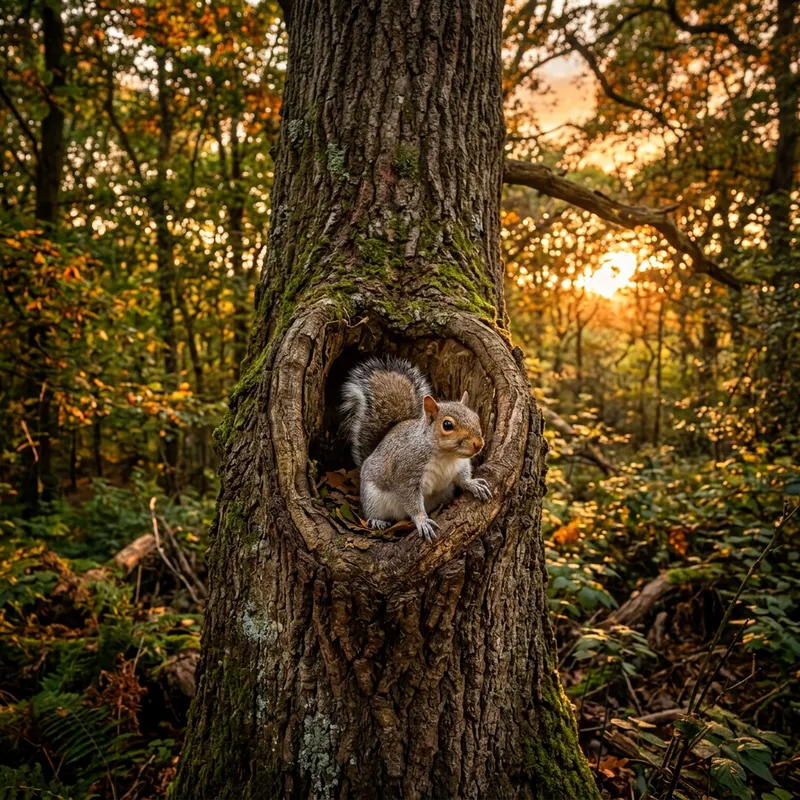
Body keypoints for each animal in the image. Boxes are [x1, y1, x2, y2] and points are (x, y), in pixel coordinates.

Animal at [340, 356, 492, 542]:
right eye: (447, 425)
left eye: (476, 417)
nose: (479, 444)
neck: (446, 456)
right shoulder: (406, 472)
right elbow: (411, 501)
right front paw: (422, 521)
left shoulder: (460, 464)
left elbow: (463, 478)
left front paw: (473, 484)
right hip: (372, 497)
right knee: (371, 512)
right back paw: (376, 521)